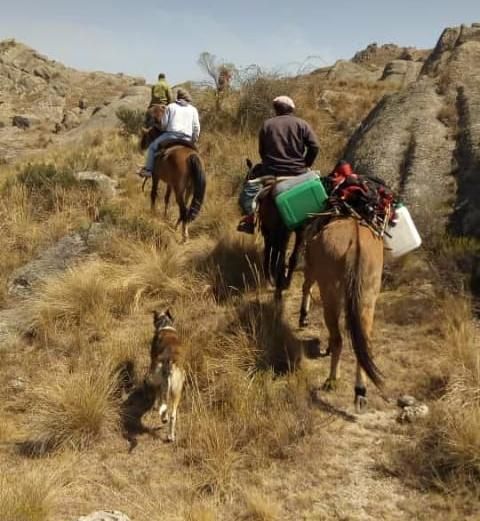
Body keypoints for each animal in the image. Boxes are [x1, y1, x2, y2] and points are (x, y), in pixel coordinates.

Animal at [146, 310, 186, 440]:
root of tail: (169, 361)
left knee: (161, 400)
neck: (165, 324)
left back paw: (163, 418)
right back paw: (170, 436)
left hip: (159, 380)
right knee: (172, 414)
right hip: (177, 390)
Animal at [298, 215, 384, 410]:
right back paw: (360, 391)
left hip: (331, 293)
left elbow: (306, 287)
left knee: (338, 338)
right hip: (367, 297)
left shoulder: (311, 269)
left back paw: (331, 379)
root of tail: (355, 245)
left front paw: (303, 317)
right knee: (363, 343)